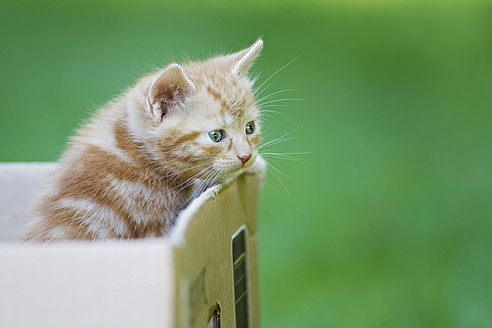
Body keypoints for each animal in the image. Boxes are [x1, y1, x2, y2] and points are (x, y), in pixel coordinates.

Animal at [24, 39, 266, 242]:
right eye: (216, 136)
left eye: (250, 128)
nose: (246, 156)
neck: (133, 152)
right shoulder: (153, 225)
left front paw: (255, 164)